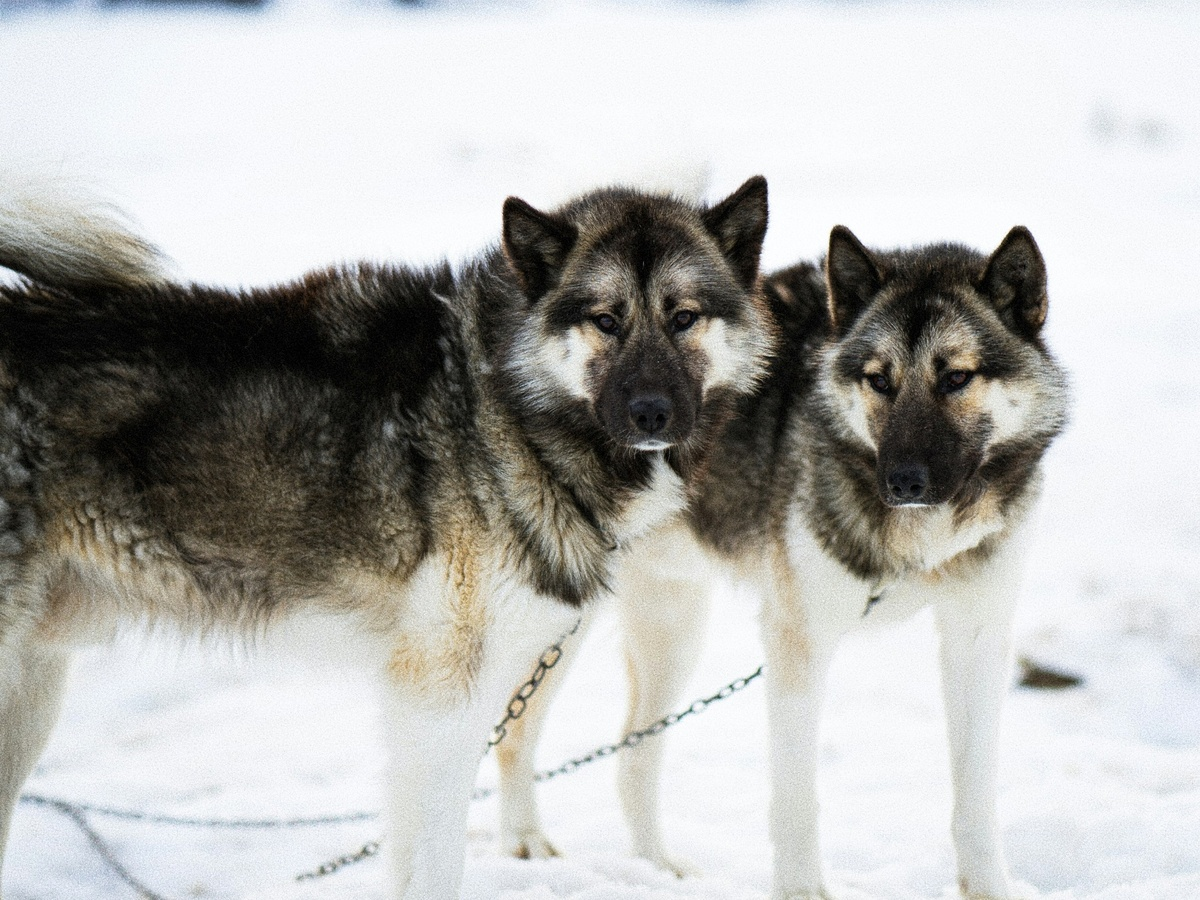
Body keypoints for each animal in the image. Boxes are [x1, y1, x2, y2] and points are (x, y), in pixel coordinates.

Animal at [0, 176, 776, 900]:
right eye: (606, 320)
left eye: (684, 317)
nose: (652, 412)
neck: (503, 404)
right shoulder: (441, 701)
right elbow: (435, 866)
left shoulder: (444, 702)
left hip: (32, 694)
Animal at [496, 225, 1069, 899]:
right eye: (879, 380)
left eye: (956, 377)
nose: (902, 481)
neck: (919, 543)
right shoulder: (799, 642)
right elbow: (797, 799)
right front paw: (800, 891)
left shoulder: (976, 639)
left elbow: (975, 800)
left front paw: (988, 889)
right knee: (514, 733)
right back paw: (527, 850)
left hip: (674, 630)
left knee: (634, 754)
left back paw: (657, 871)